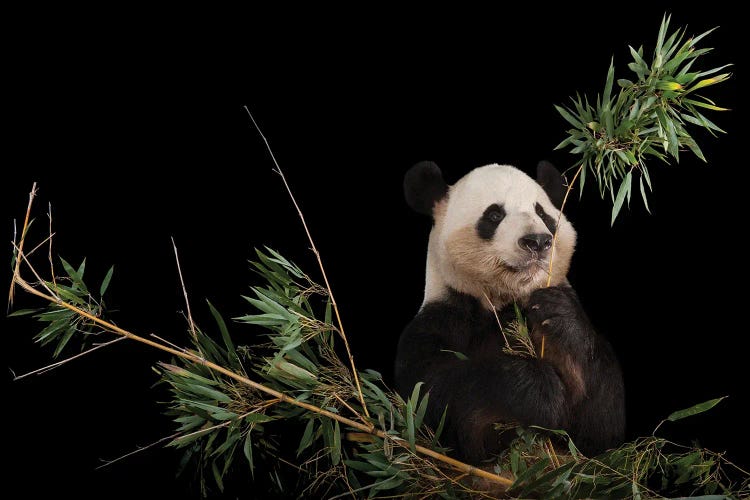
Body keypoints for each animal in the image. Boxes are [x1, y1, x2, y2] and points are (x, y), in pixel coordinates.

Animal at [396, 160, 624, 464]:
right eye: (494, 215)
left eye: (543, 214)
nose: (537, 241)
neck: (504, 300)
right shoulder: (440, 319)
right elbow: (436, 396)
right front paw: (540, 390)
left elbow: (599, 430)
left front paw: (560, 315)